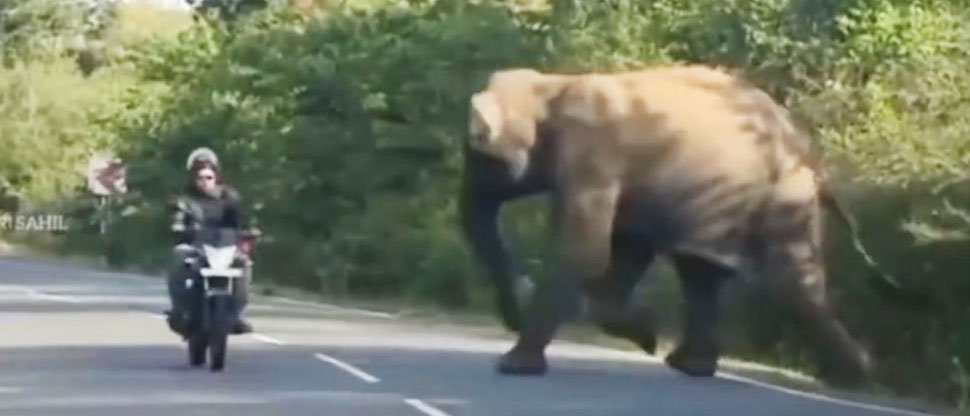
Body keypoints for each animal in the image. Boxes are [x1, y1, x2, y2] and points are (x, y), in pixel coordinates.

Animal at [459, 64, 935, 387]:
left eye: (479, 156)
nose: (511, 317)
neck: (550, 87)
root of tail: (812, 152)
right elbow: (626, 245)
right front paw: (647, 335)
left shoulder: (593, 157)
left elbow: (585, 251)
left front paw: (513, 368)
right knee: (701, 272)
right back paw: (691, 366)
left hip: (784, 192)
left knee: (789, 281)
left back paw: (856, 378)